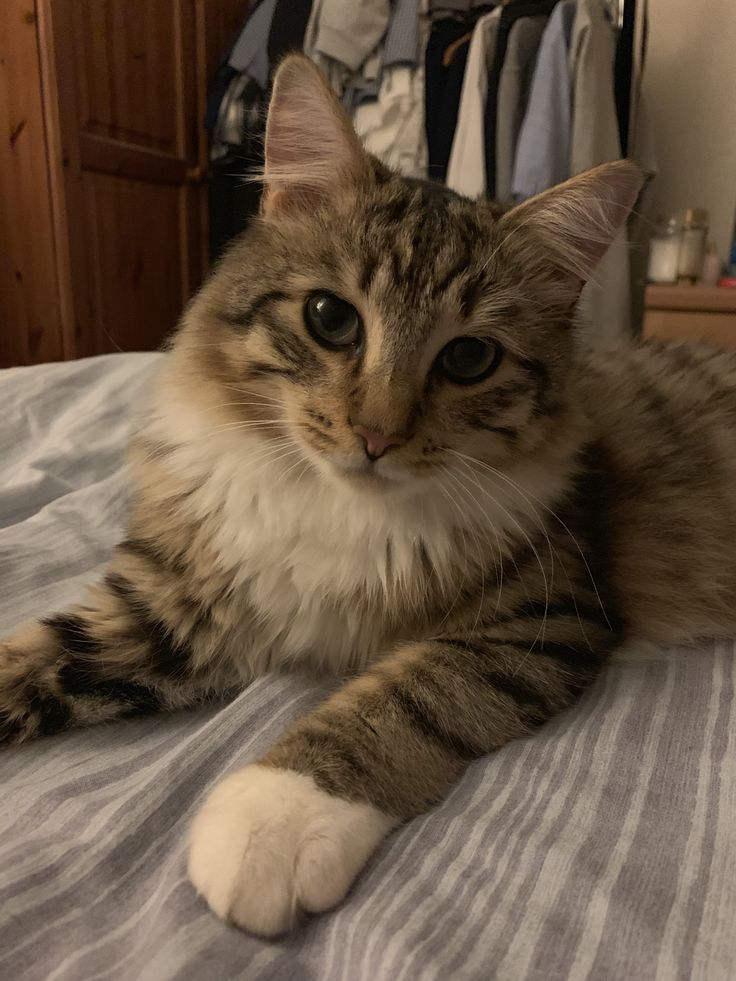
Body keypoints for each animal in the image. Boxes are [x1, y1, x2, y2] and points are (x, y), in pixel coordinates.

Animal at [1, 53, 736, 936]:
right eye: (330, 317)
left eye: (469, 358)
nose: (375, 435)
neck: (333, 497)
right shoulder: (174, 603)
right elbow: (27, 658)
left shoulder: (541, 616)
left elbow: (402, 702)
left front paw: (274, 819)